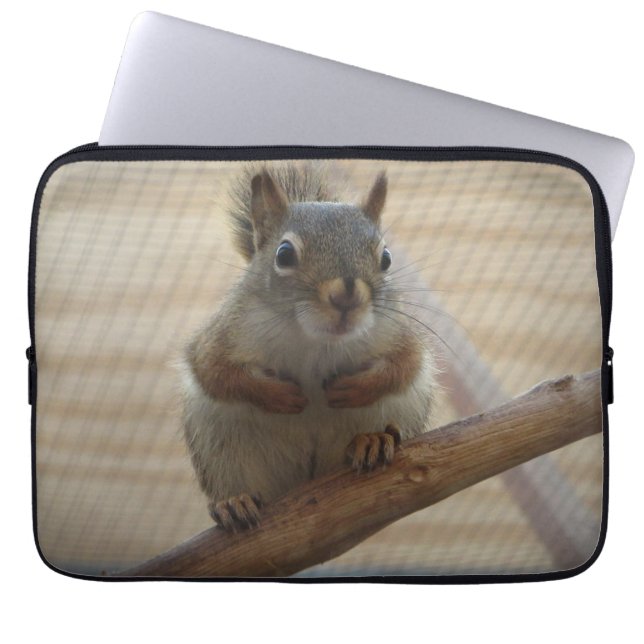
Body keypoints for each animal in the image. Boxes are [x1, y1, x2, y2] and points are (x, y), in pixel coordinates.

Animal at [180, 163, 436, 531]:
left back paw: (372, 439)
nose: (346, 295)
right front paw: (278, 395)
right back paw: (234, 501)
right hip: (220, 446)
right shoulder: (223, 336)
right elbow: (216, 372)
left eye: (386, 258)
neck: (317, 339)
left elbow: (406, 365)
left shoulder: (398, 333)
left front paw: (354, 389)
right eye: (284, 254)